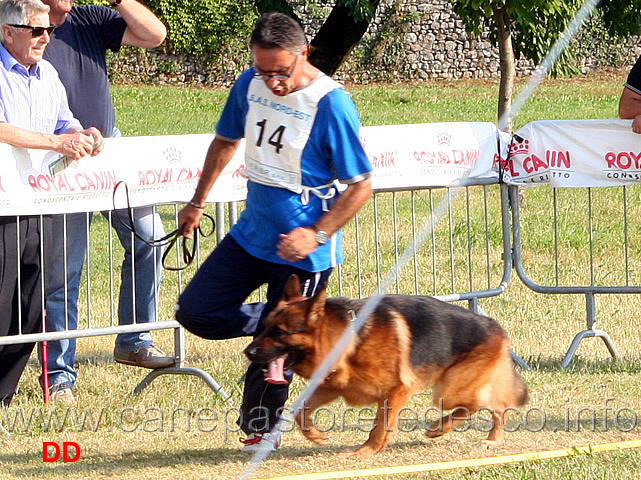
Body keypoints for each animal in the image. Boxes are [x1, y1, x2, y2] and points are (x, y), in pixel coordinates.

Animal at [242, 276, 528, 456]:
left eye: (279, 332)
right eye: (263, 327)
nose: (248, 352)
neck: (349, 340)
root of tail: (495, 327)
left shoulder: (397, 391)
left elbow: (380, 428)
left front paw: (365, 452)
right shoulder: (332, 386)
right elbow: (301, 412)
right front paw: (315, 436)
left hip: (448, 391)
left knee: (487, 404)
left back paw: (452, 431)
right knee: (491, 405)